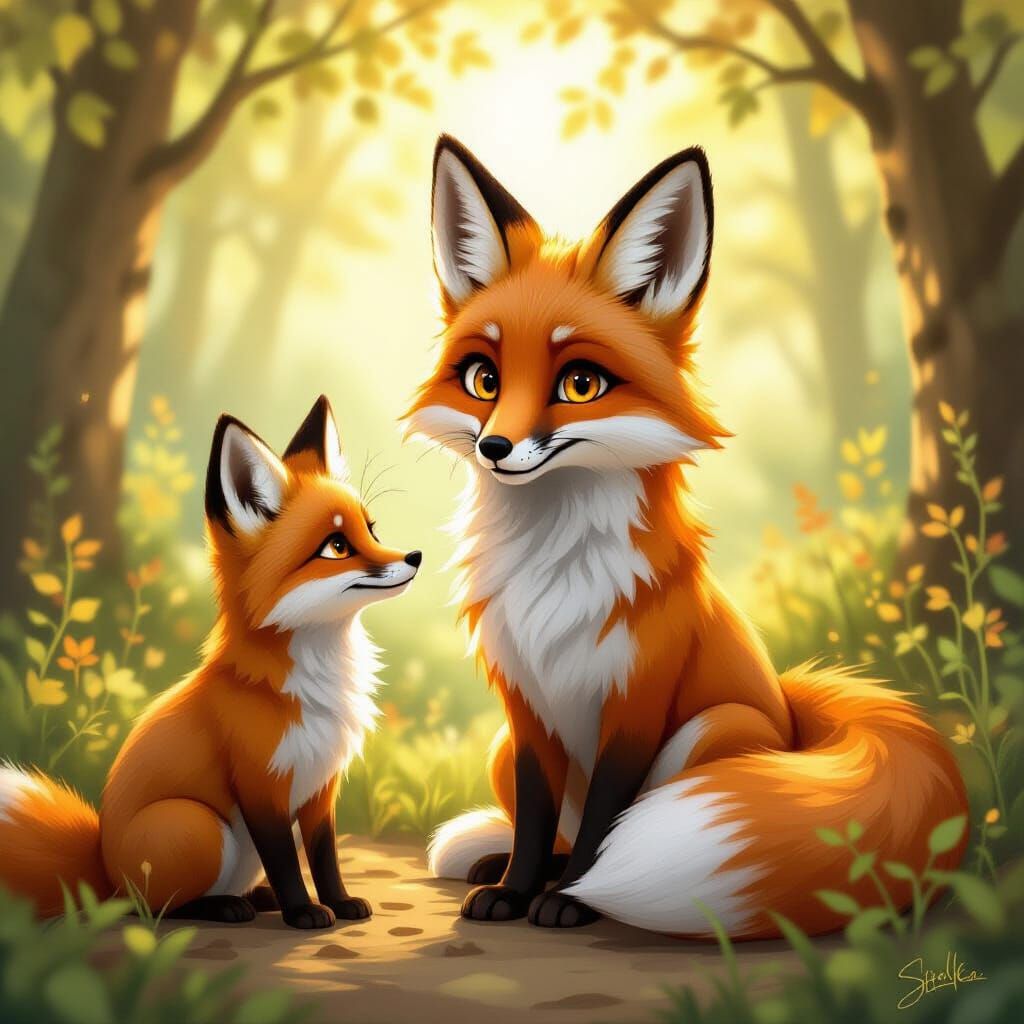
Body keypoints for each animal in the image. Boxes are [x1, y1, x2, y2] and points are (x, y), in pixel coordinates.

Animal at [0, 396, 421, 928]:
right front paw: (303, 911)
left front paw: (340, 902)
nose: (415, 556)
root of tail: (104, 873)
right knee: (157, 908)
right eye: (337, 546)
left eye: (371, 528)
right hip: (197, 825)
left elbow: (324, 856)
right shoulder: (262, 786)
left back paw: (257, 898)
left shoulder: (320, 788)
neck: (312, 684)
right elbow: (286, 860)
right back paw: (225, 906)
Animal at [405, 135, 968, 937]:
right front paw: (514, 889)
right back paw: (501, 865)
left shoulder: (637, 703)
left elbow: (607, 819)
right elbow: (539, 819)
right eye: (484, 379)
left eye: (580, 384)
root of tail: (790, 707)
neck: (553, 570)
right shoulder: (527, 710)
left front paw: (572, 901)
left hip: (710, 731)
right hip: (499, 746)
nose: (495, 448)